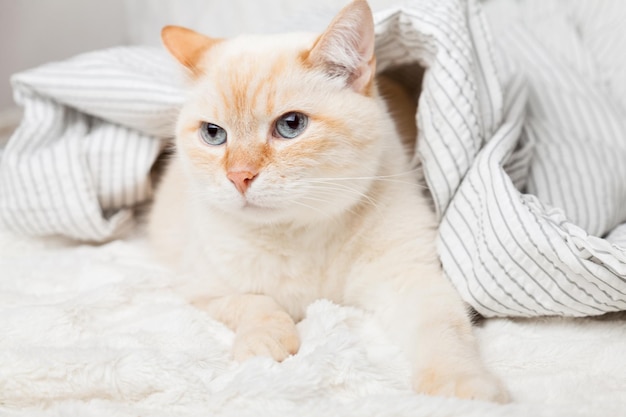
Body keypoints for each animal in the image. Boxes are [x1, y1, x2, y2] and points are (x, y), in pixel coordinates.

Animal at [150, 0, 508, 404]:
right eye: (213, 134)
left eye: (291, 125)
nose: (239, 176)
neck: (300, 234)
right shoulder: (200, 289)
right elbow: (255, 303)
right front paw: (264, 345)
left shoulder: (410, 278)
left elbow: (445, 333)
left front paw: (462, 387)